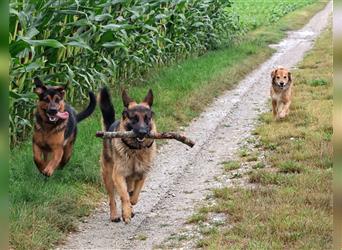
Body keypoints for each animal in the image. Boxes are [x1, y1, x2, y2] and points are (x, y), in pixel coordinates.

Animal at [97, 87, 156, 223]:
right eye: (134, 118)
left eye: (147, 118)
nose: (142, 132)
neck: (135, 150)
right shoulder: (118, 175)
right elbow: (124, 196)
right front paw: (126, 213)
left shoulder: (142, 175)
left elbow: (134, 197)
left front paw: (130, 208)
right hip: (108, 176)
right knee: (112, 197)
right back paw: (114, 215)